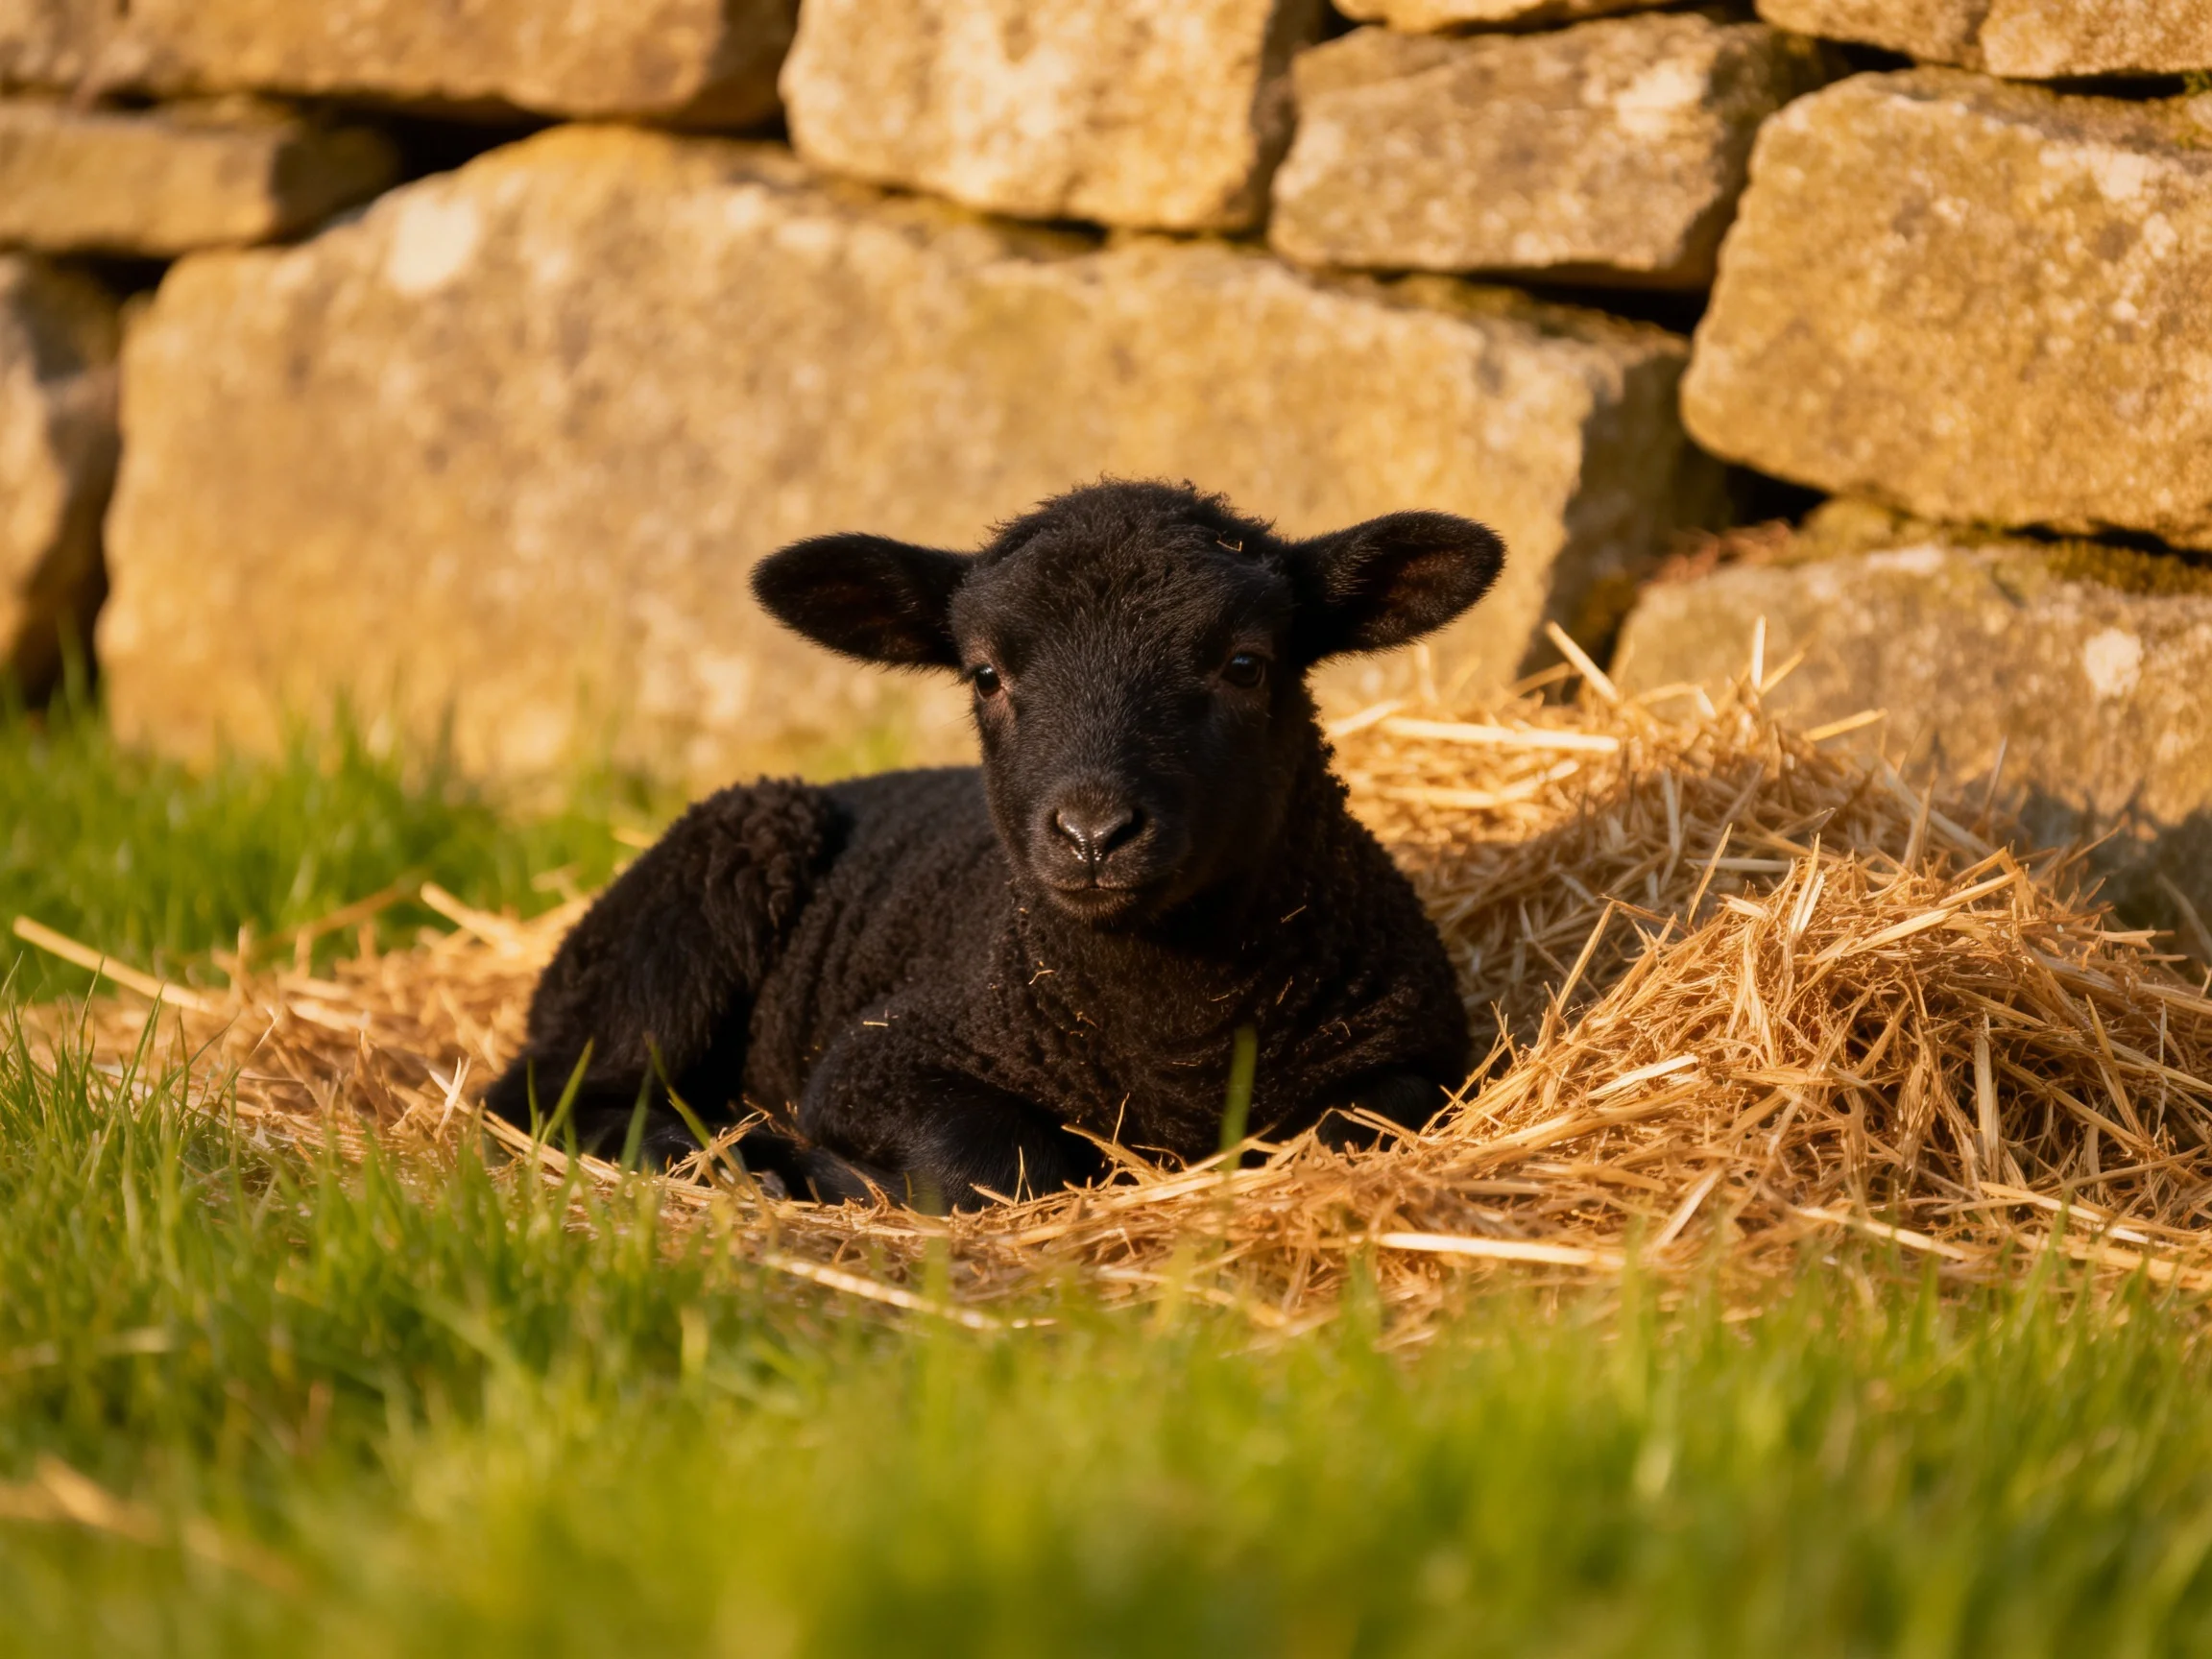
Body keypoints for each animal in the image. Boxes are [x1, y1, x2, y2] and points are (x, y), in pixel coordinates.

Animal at [486, 480, 1504, 1208]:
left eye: (1246, 664)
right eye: (985, 675)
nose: (1093, 835)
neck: (1175, 1035)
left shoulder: (1418, 1059)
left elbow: (1351, 1130)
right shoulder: (877, 1060)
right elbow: (1004, 1164)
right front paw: (834, 1174)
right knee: (540, 1094)